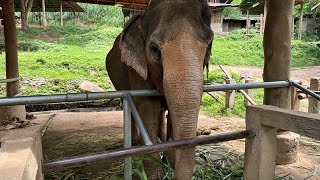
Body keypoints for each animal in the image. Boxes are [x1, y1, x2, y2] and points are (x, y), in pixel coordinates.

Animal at [106, 0, 214, 179]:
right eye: (155, 49)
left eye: (209, 45)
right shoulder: (136, 69)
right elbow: (148, 107)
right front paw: (155, 174)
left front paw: (170, 163)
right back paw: (135, 144)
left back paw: (161, 140)